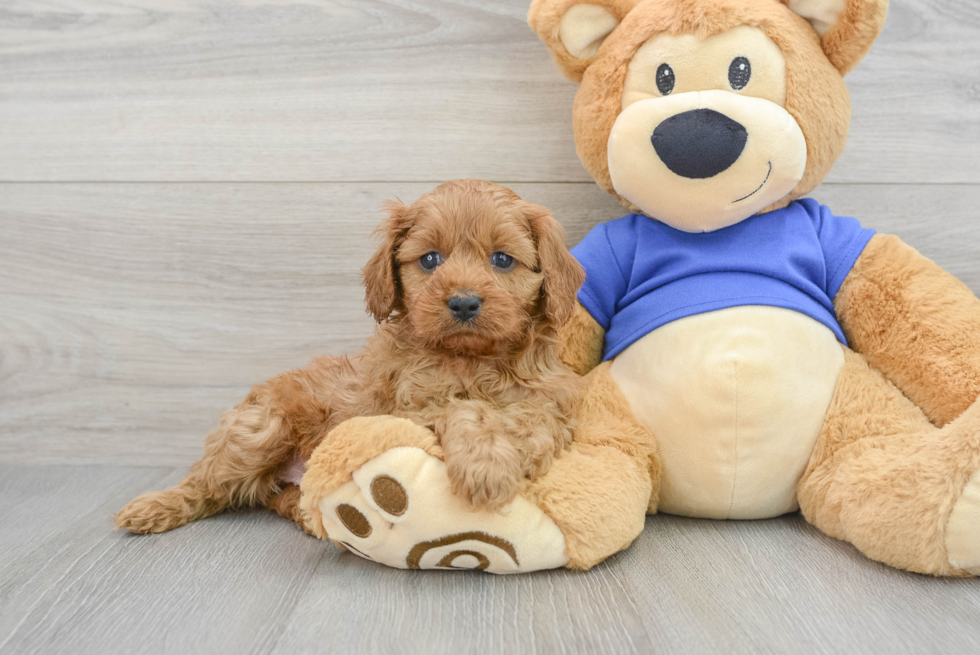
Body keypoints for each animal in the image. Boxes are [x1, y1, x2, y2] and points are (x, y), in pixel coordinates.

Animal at [118, 178, 584, 532]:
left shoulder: (552, 400)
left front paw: (506, 458)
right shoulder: (407, 411)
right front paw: (485, 467)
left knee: (281, 497)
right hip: (259, 429)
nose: (464, 302)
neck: (472, 359)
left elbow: (532, 419)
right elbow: (466, 409)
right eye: (430, 259)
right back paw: (154, 507)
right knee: (209, 484)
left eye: (502, 259)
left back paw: (309, 516)